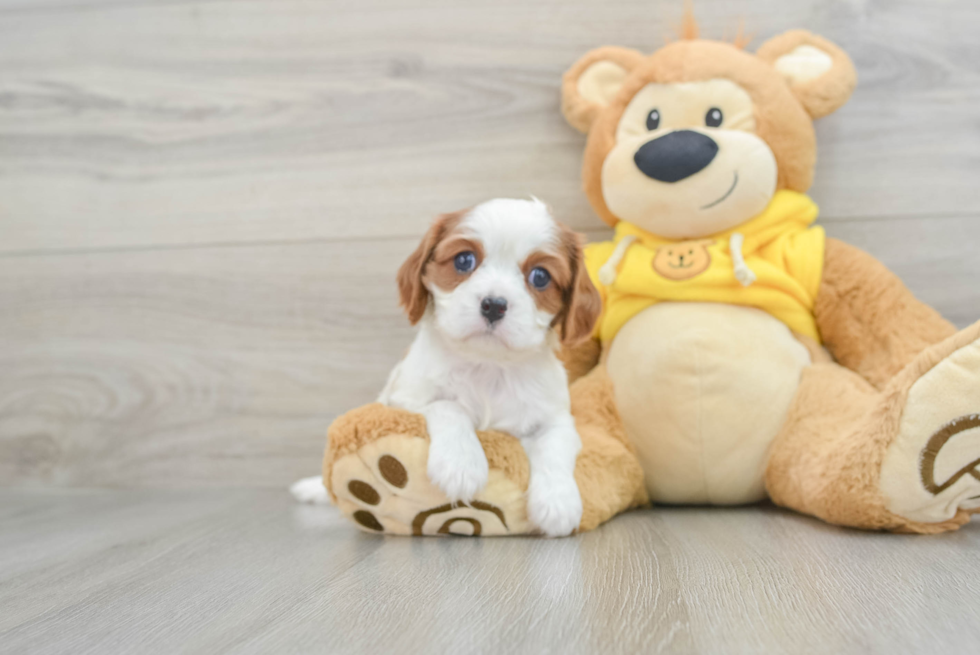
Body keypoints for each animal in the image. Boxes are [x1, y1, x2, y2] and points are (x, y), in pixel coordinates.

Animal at [288, 199, 600, 540]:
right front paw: (461, 464)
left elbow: (554, 446)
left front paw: (559, 503)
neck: (487, 366)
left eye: (540, 276)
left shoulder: (555, 416)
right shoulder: (405, 400)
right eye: (464, 260)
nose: (494, 304)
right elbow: (448, 405)